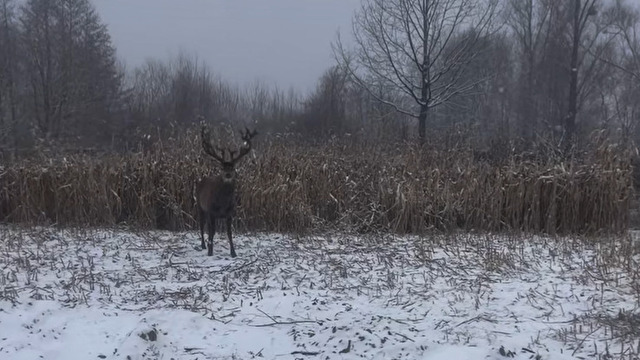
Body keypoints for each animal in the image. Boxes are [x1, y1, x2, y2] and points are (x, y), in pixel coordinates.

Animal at [196, 125, 256, 258]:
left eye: (233, 168)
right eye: (222, 168)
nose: (228, 174)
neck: (223, 203)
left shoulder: (230, 213)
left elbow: (229, 233)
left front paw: (233, 253)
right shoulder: (211, 211)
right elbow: (211, 232)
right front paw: (210, 252)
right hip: (200, 206)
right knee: (202, 226)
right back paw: (203, 245)